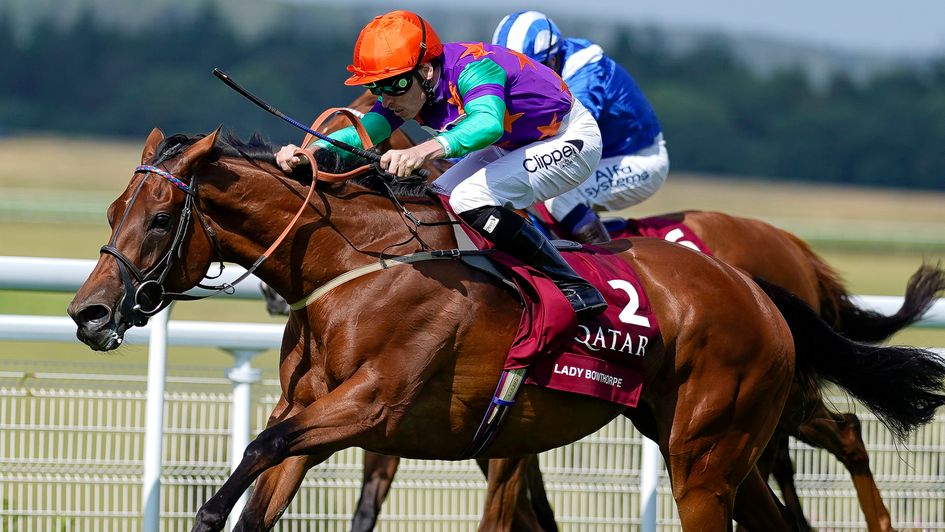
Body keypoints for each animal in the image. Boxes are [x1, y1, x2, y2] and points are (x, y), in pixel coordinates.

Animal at [68, 125, 944, 532]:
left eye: (158, 218)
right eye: (110, 212)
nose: (88, 312)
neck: (356, 265)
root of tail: (761, 287)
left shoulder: (376, 407)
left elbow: (260, 448)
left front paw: (205, 511)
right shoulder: (320, 414)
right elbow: (272, 472)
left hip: (707, 453)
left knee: (835, 439)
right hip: (706, 444)